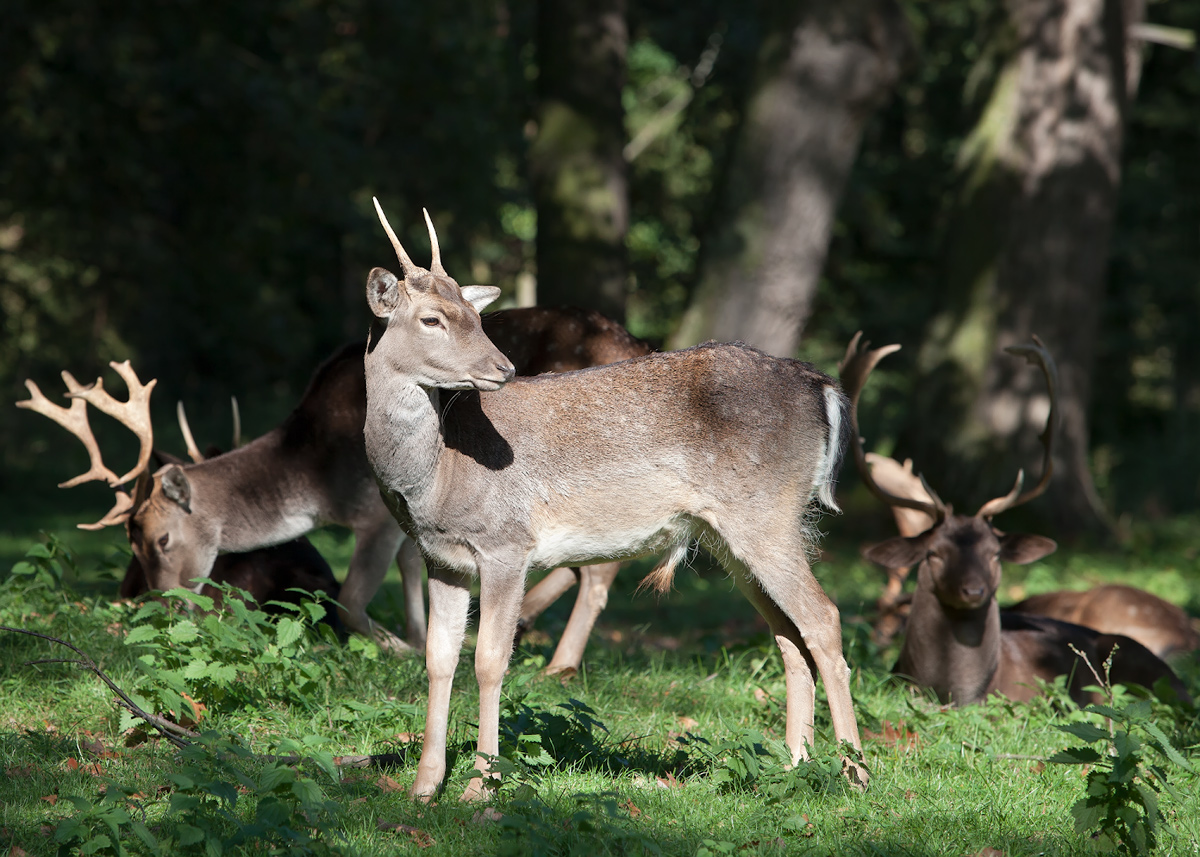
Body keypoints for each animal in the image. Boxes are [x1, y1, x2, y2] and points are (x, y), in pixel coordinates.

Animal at [16, 309, 648, 657]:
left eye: (161, 539)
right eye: (129, 543)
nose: (160, 607)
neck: (317, 478)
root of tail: (640, 341)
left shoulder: (376, 513)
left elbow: (348, 600)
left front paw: (397, 648)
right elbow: (413, 576)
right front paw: (419, 636)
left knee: (603, 569)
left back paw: (557, 660)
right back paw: (526, 622)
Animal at [362, 201, 864, 801]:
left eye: (476, 317)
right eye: (432, 319)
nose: (503, 368)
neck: (437, 476)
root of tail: (822, 386)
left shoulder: (507, 543)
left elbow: (489, 660)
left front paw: (481, 786)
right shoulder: (442, 558)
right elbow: (438, 659)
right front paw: (423, 787)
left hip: (766, 516)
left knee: (824, 618)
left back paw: (855, 772)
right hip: (730, 535)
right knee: (788, 633)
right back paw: (792, 765)